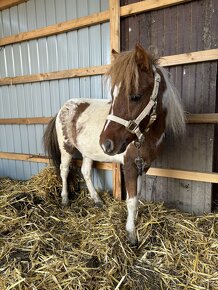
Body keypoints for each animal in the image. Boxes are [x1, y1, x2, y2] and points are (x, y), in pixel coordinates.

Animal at [43, 44, 185, 246]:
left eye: (135, 96)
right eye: (113, 95)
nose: (106, 143)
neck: (146, 135)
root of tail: (63, 108)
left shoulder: (143, 166)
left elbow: (137, 195)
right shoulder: (130, 166)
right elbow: (131, 200)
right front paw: (131, 234)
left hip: (87, 151)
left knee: (86, 171)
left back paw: (97, 200)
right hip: (66, 148)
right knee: (64, 170)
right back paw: (65, 199)